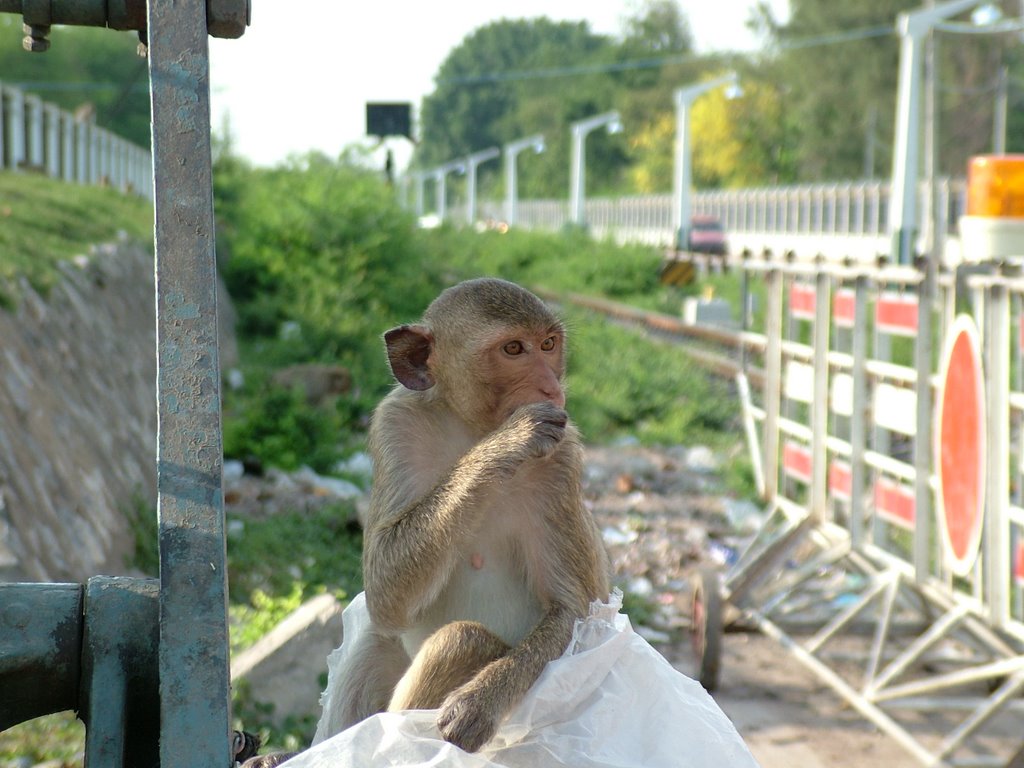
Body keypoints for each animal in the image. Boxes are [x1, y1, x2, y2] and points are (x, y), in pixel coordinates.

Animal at [245, 276, 606, 765]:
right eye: (514, 349)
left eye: (548, 345)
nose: (551, 389)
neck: (470, 428)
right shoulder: (396, 422)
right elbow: (384, 593)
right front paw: (509, 441)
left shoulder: (562, 459)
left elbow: (576, 614)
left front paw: (481, 701)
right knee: (381, 638)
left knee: (465, 639)